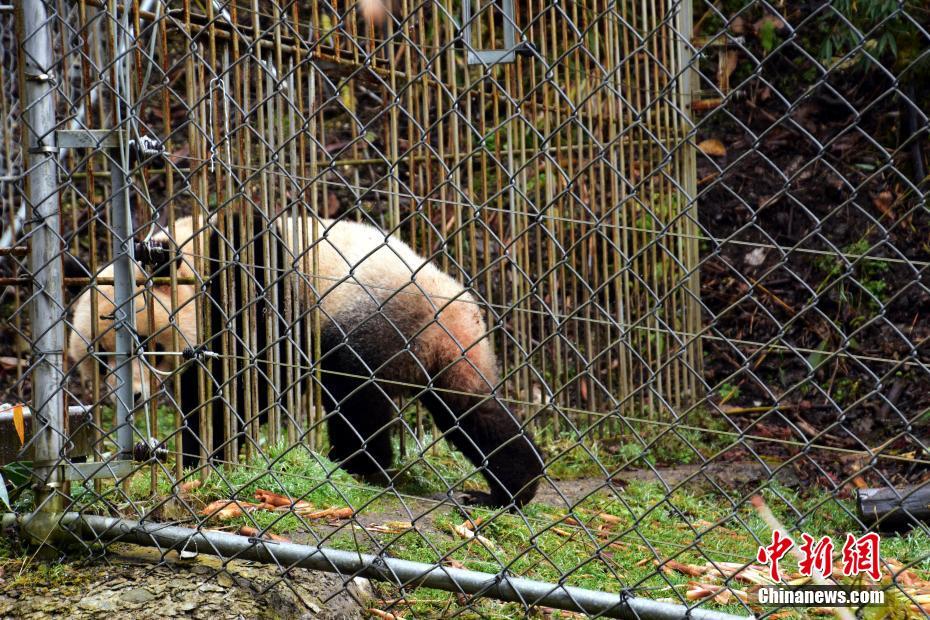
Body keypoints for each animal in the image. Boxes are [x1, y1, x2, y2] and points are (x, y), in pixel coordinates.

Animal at [70, 211, 544, 506]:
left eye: (144, 343)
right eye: (101, 358)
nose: (129, 395)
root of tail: (458, 308)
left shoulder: (254, 284)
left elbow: (245, 384)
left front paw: (203, 456)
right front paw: (192, 453)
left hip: (373, 318)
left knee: (356, 396)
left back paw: (359, 463)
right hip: (443, 349)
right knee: (472, 411)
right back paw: (510, 490)